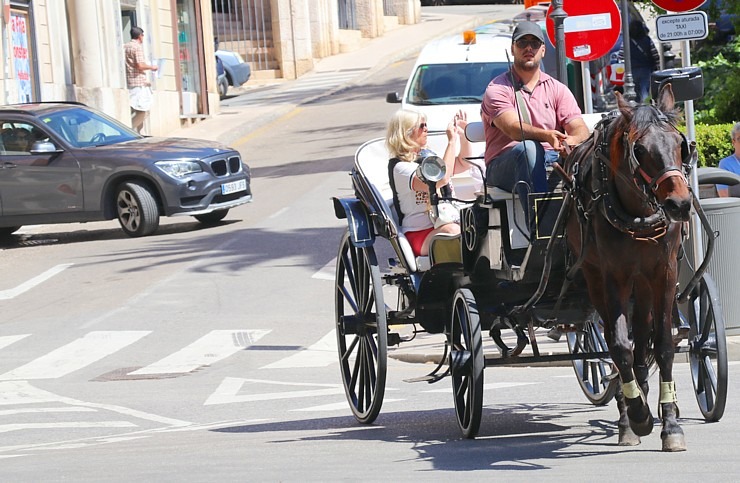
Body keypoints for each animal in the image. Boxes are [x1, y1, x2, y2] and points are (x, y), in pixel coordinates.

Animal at [568, 85, 692, 452]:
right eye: (639, 149)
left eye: (680, 143)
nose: (680, 204)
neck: (639, 213)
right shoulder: (614, 276)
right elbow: (619, 346)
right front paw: (637, 415)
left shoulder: (663, 273)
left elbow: (663, 345)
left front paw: (671, 424)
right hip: (596, 278)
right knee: (614, 343)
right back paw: (628, 416)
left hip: (645, 284)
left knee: (643, 343)